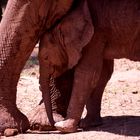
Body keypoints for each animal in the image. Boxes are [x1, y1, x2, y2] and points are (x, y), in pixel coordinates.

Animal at [52, 0, 139, 133]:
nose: (53, 123)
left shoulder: (96, 34)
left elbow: (87, 73)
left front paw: (63, 127)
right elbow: (102, 73)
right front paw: (89, 124)